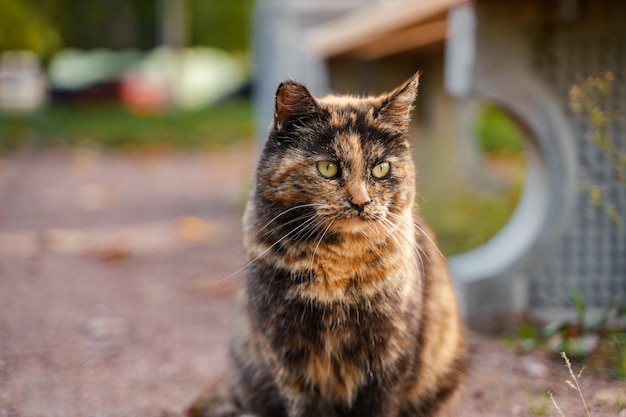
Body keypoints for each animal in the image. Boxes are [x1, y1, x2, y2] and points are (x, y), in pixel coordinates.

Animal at [188, 73, 466, 416]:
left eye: (381, 168)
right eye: (328, 168)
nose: (361, 201)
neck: (338, 266)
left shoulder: (389, 353)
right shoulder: (287, 353)